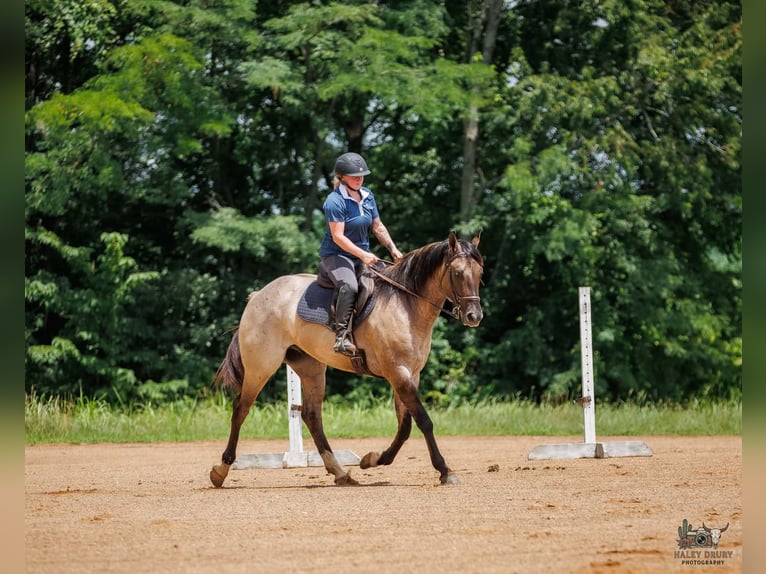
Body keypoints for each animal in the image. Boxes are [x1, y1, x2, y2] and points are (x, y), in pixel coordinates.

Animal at [210, 231, 484, 487]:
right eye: (457, 273)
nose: (474, 316)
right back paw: (220, 471)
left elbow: (405, 427)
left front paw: (373, 459)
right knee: (241, 409)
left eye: (479, 273)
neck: (406, 305)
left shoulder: (409, 375)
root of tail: (258, 295)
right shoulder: (398, 373)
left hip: (310, 368)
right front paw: (445, 471)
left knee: (311, 415)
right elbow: (424, 422)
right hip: (261, 367)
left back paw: (340, 472)